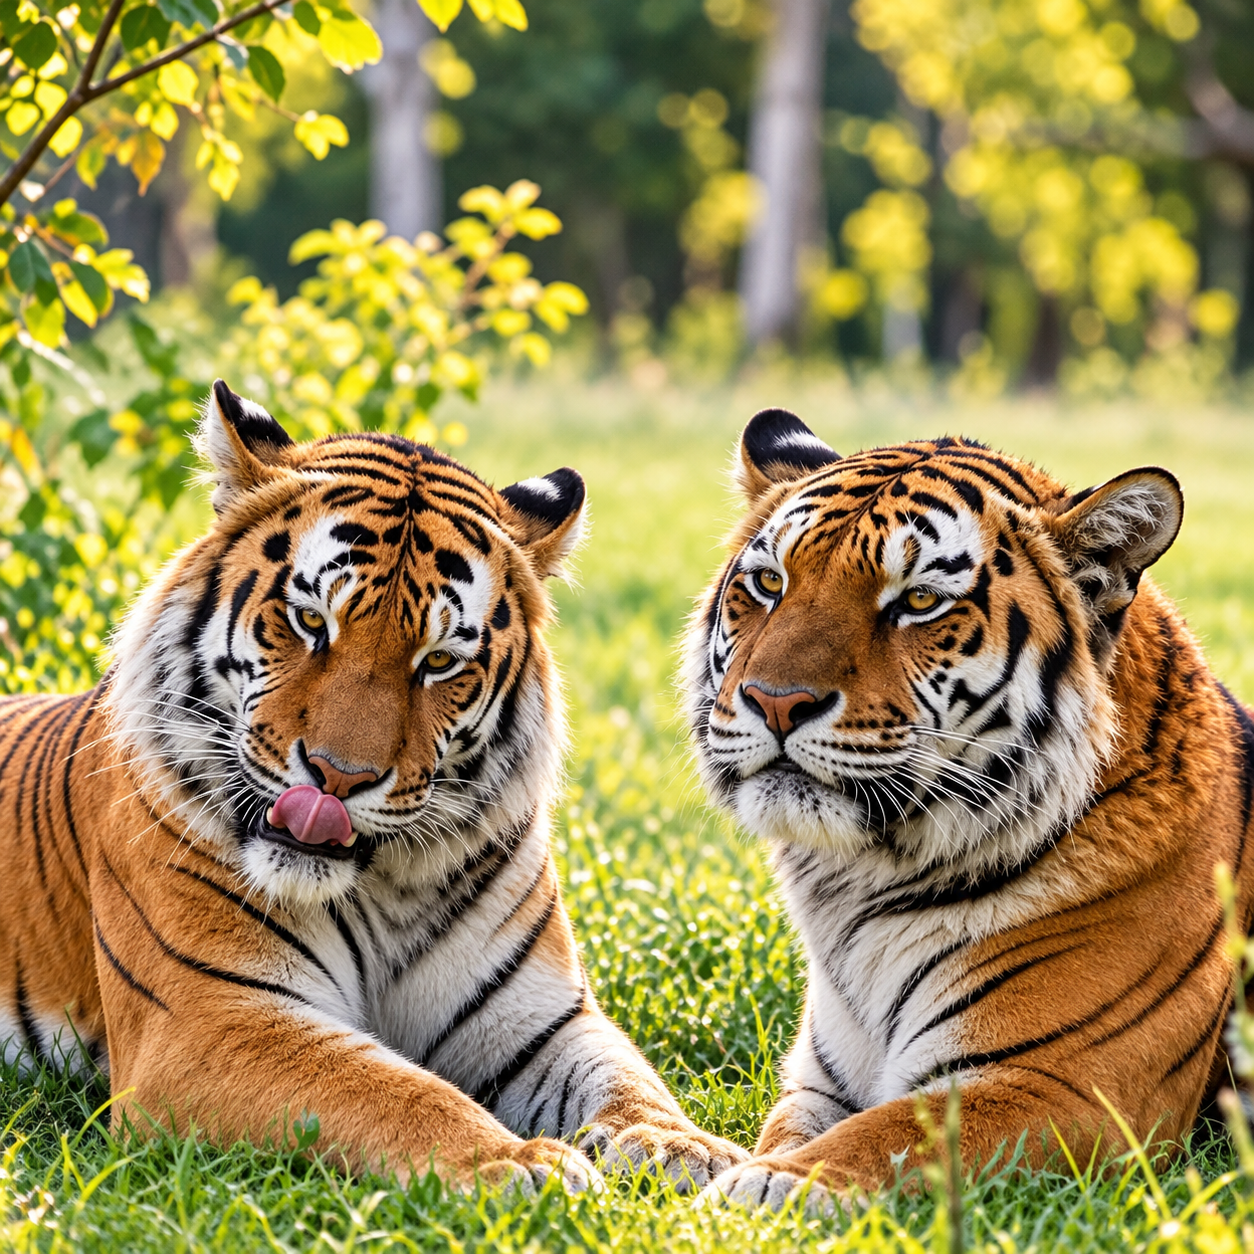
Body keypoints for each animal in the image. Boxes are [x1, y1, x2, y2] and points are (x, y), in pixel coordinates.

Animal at [0, 380, 746, 1194]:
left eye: (440, 662)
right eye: (308, 621)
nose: (339, 776)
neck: (378, 888)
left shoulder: (544, 1020)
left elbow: (626, 1080)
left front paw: (689, 1151)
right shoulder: (208, 1017)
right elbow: (390, 1090)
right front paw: (516, 1163)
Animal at [683, 407, 1254, 1212]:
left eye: (920, 601)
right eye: (769, 583)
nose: (774, 701)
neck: (862, 882)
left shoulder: (1064, 1085)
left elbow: (886, 1136)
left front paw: (760, 1191)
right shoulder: (818, 1081)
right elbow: (801, 1129)